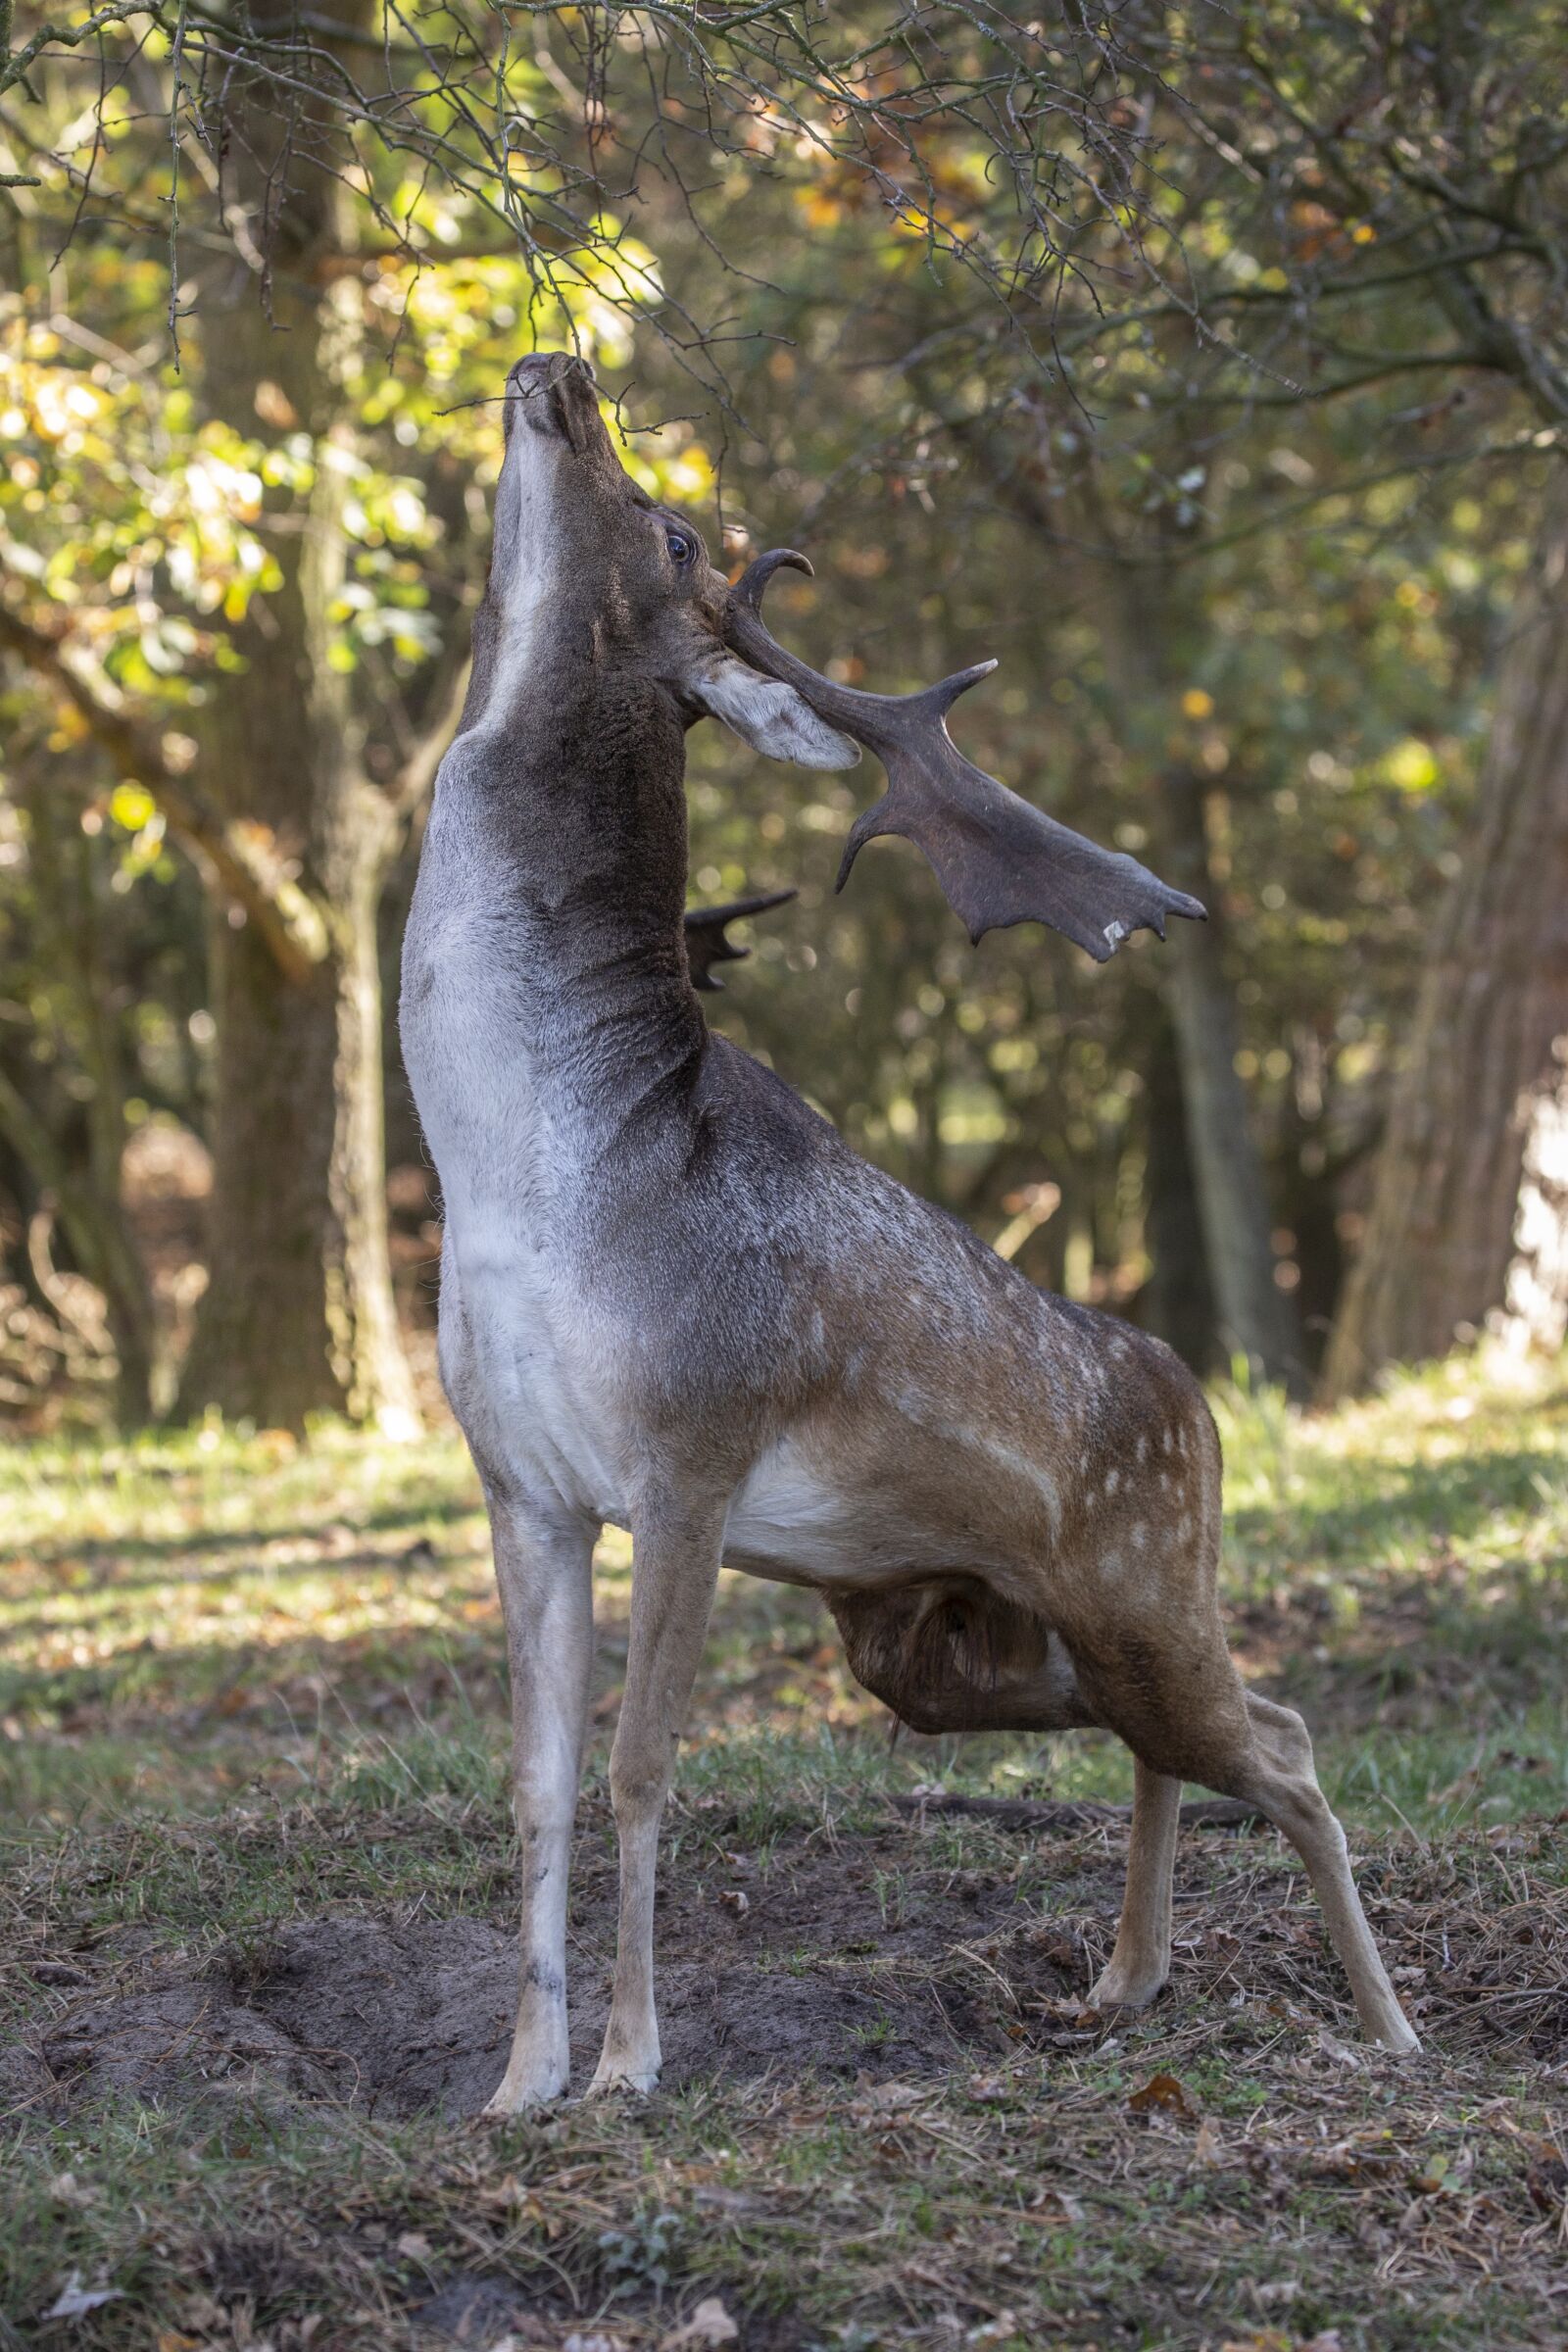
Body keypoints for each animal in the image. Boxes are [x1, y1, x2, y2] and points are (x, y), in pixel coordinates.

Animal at [399, 350, 1419, 2112]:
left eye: (672, 532)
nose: (563, 370)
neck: (520, 1179)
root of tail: (1206, 1405)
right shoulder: (517, 1479)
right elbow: (531, 1785)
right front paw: (515, 2086)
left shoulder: (693, 1440)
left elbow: (639, 1766)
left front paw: (630, 2069)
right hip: (954, 1643)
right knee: (1185, 1734)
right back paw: (1121, 1983)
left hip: (1141, 1578)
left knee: (1279, 1742)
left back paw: (1392, 2028)